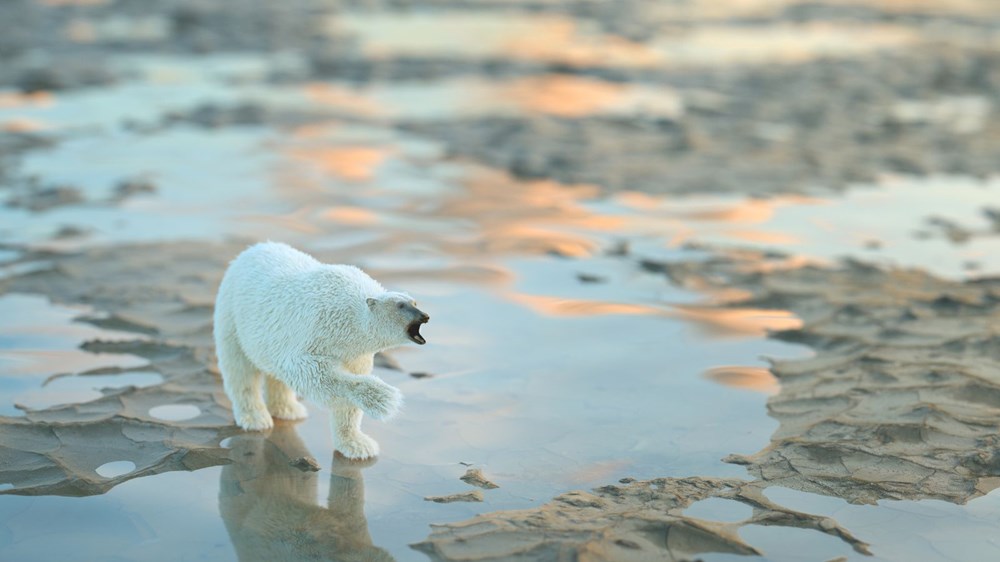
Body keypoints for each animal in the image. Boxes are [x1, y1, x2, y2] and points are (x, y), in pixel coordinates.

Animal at [213, 238, 428, 458]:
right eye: (401, 305)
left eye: (414, 302)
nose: (424, 316)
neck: (350, 318)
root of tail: (253, 248)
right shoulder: (315, 329)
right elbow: (309, 371)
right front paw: (383, 398)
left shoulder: (356, 354)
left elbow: (345, 403)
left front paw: (358, 445)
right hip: (232, 315)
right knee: (240, 370)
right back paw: (256, 418)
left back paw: (290, 410)